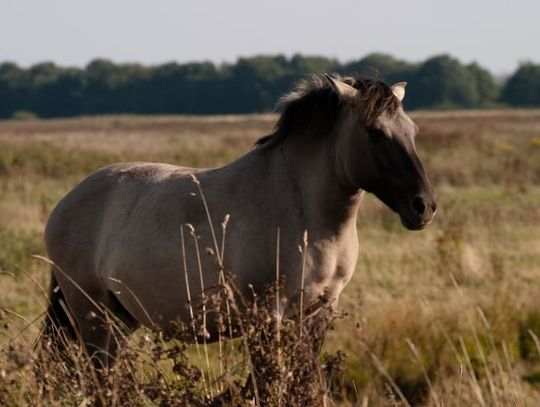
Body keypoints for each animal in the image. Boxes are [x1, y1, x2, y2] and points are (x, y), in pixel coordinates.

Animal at [44, 74, 436, 370]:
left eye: (413, 130)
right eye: (375, 132)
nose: (424, 206)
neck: (304, 214)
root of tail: (64, 205)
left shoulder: (318, 312)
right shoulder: (265, 316)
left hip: (120, 318)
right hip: (93, 315)